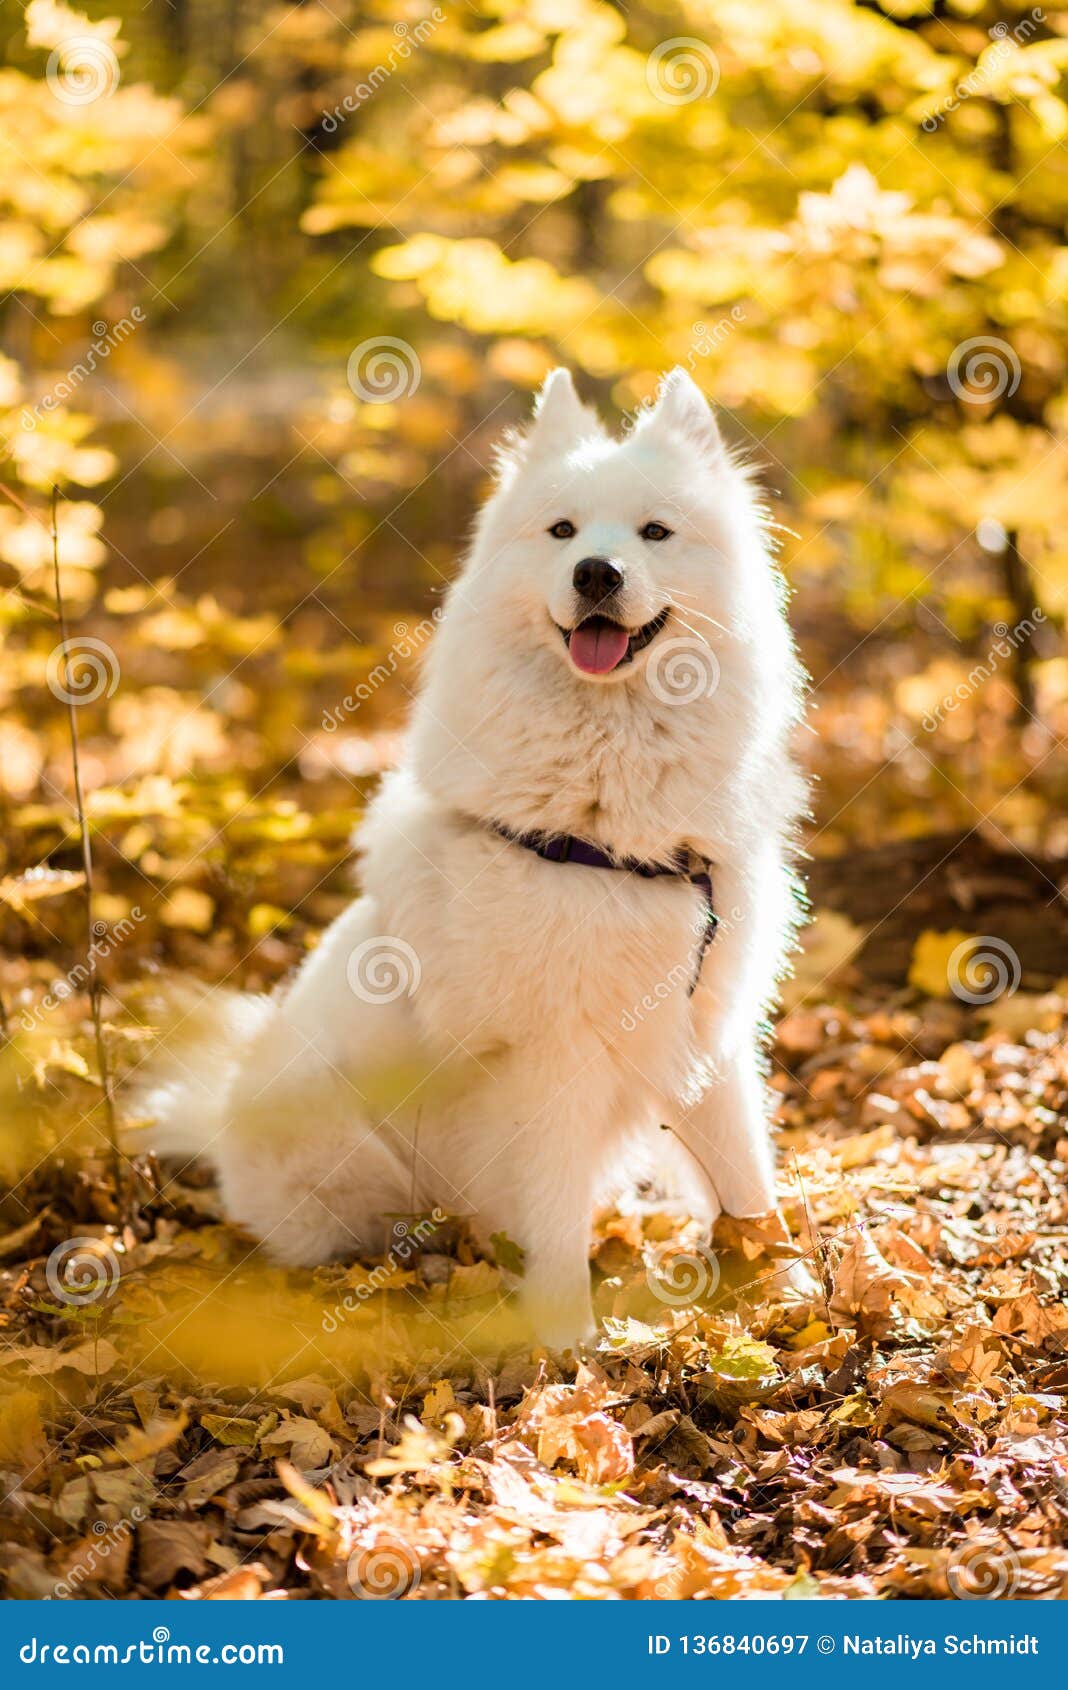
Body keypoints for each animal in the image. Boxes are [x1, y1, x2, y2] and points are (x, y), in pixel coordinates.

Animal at [141, 370, 807, 1345]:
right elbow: (558, 1212)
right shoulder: (555, 1052)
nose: (596, 572)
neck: (606, 815)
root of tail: (220, 1125)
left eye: (655, 532)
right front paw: (567, 1339)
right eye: (563, 531)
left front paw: (792, 1291)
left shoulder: (705, 1024)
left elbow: (747, 1179)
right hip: (347, 1159)